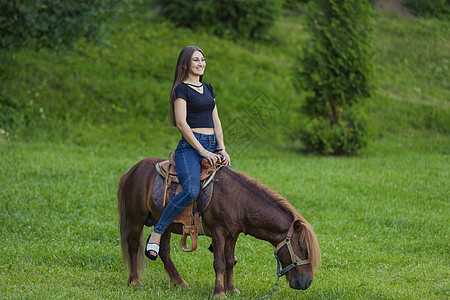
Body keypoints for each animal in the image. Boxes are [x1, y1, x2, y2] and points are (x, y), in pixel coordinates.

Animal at [116, 157, 320, 298]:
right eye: (302, 248)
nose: (307, 282)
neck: (239, 201)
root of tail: (132, 170)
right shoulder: (218, 232)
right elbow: (219, 262)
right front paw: (219, 292)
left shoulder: (233, 234)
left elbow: (229, 261)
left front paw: (232, 289)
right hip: (136, 219)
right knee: (133, 246)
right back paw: (135, 281)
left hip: (164, 222)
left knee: (164, 251)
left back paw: (179, 281)